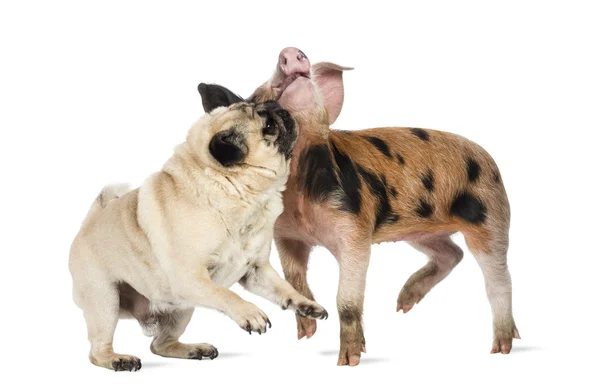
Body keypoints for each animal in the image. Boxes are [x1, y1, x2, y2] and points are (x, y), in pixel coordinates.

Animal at [70, 90, 328, 372]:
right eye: (268, 127)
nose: (280, 109)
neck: (237, 192)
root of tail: (87, 224)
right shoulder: (191, 276)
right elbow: (224, 293)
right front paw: (249, 313)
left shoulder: (257, 271)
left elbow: (283, 288)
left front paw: (304, 303)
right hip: (106, 300)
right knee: (97, 351)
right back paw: (118, 359)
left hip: (181, 308)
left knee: (160, 345)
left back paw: (194, 350)